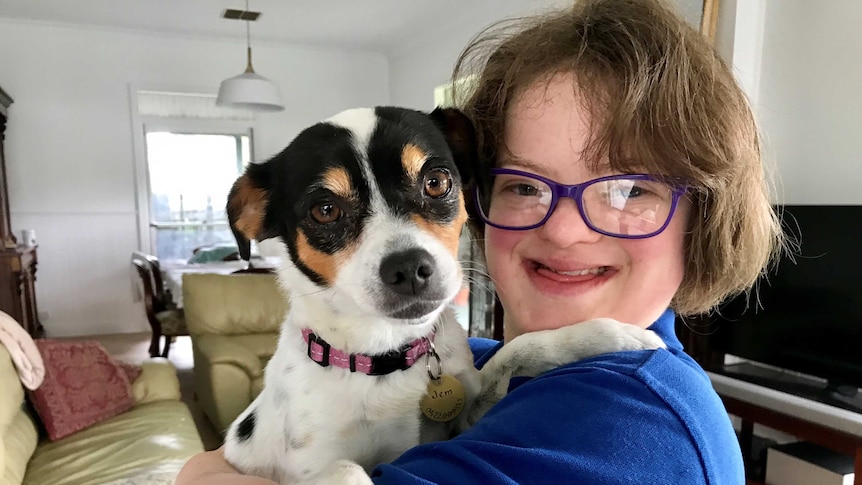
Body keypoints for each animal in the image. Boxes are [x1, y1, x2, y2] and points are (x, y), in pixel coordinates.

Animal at [223, 106, 668, 484]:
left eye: (436, 182)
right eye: (325, 210)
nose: (408, 269)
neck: (386, 356)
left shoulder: (465, 417)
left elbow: (519, 348)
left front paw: (610, 336)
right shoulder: (308, 467)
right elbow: (347, 470)